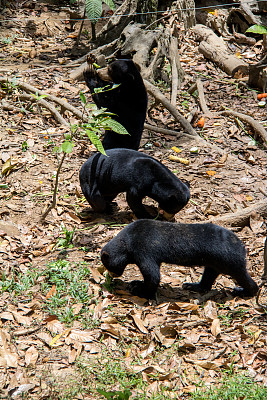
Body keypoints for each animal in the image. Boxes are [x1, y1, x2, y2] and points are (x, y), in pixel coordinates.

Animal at [101, 219, 260, 300]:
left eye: (109, 266)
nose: (112, 276)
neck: (127, 242)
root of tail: (242, 246)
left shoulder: (144, 251)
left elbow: (153, 277)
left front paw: (140, 290)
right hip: (214, 263)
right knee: (208, 278)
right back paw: (192, 285)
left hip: (231, 262)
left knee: (245, 279)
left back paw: (243, 291)